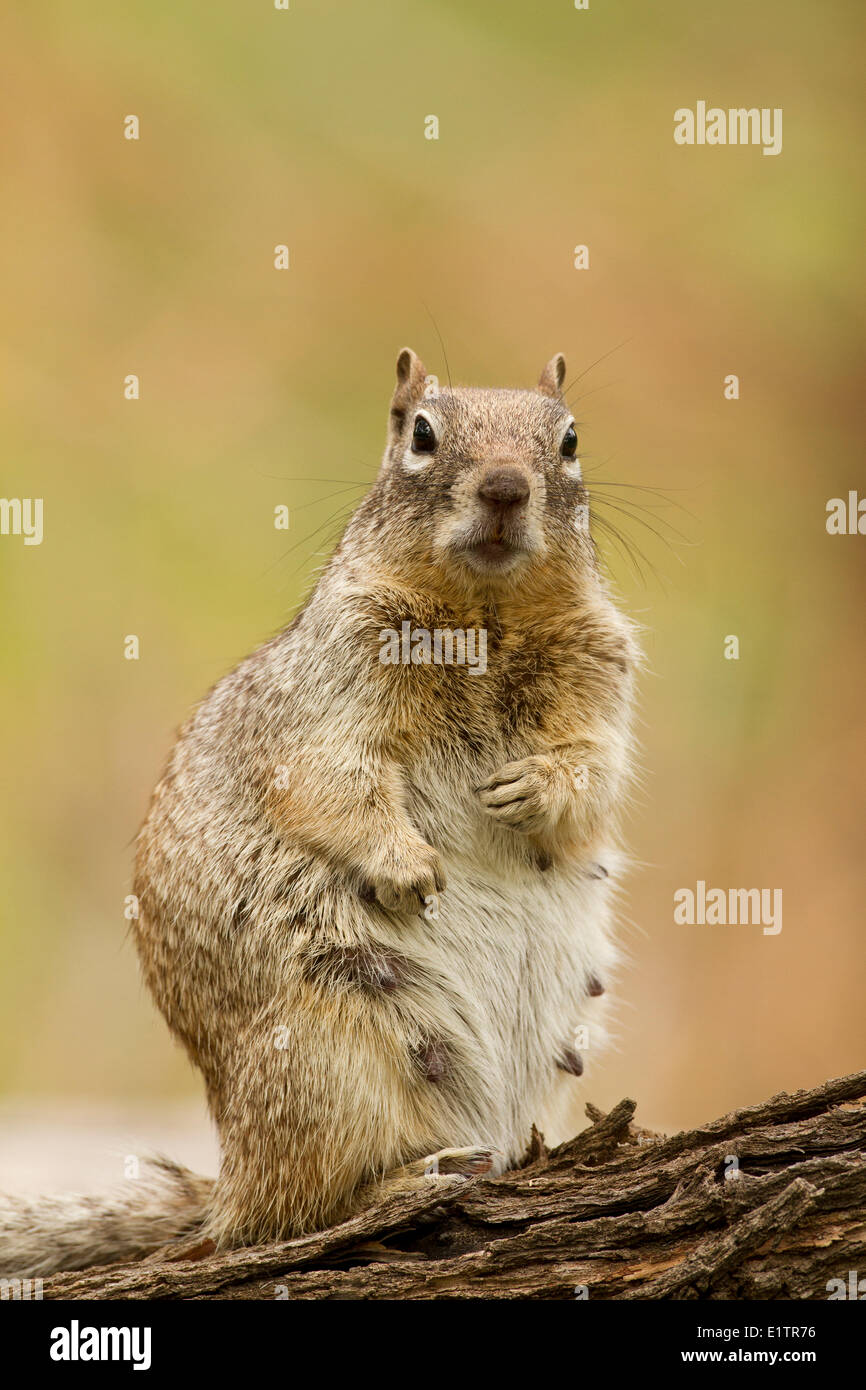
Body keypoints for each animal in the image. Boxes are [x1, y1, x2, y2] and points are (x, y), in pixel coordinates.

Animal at [0, 350, 636, 1278]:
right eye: (421, 433)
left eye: (571, 439)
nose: (505, 487)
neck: (484, 619)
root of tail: (229, 1175)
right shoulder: (327, 704)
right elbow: (335, 781)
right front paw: (409, 869)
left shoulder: (601, 683)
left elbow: (597, 775)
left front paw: (533, 790)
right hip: (330, 1054)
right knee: (283, 1217)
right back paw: (409, 1180)